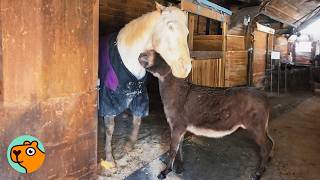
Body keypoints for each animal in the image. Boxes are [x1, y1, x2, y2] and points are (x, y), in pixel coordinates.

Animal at [99, 2, 191, 169]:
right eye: (170, 27)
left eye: (187, 33)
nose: (185, 69)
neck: (126, 58)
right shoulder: (108, 99)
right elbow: (110, 128)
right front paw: (109, 158)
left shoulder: (140, 97)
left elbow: (137, 120)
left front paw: (130, 145)